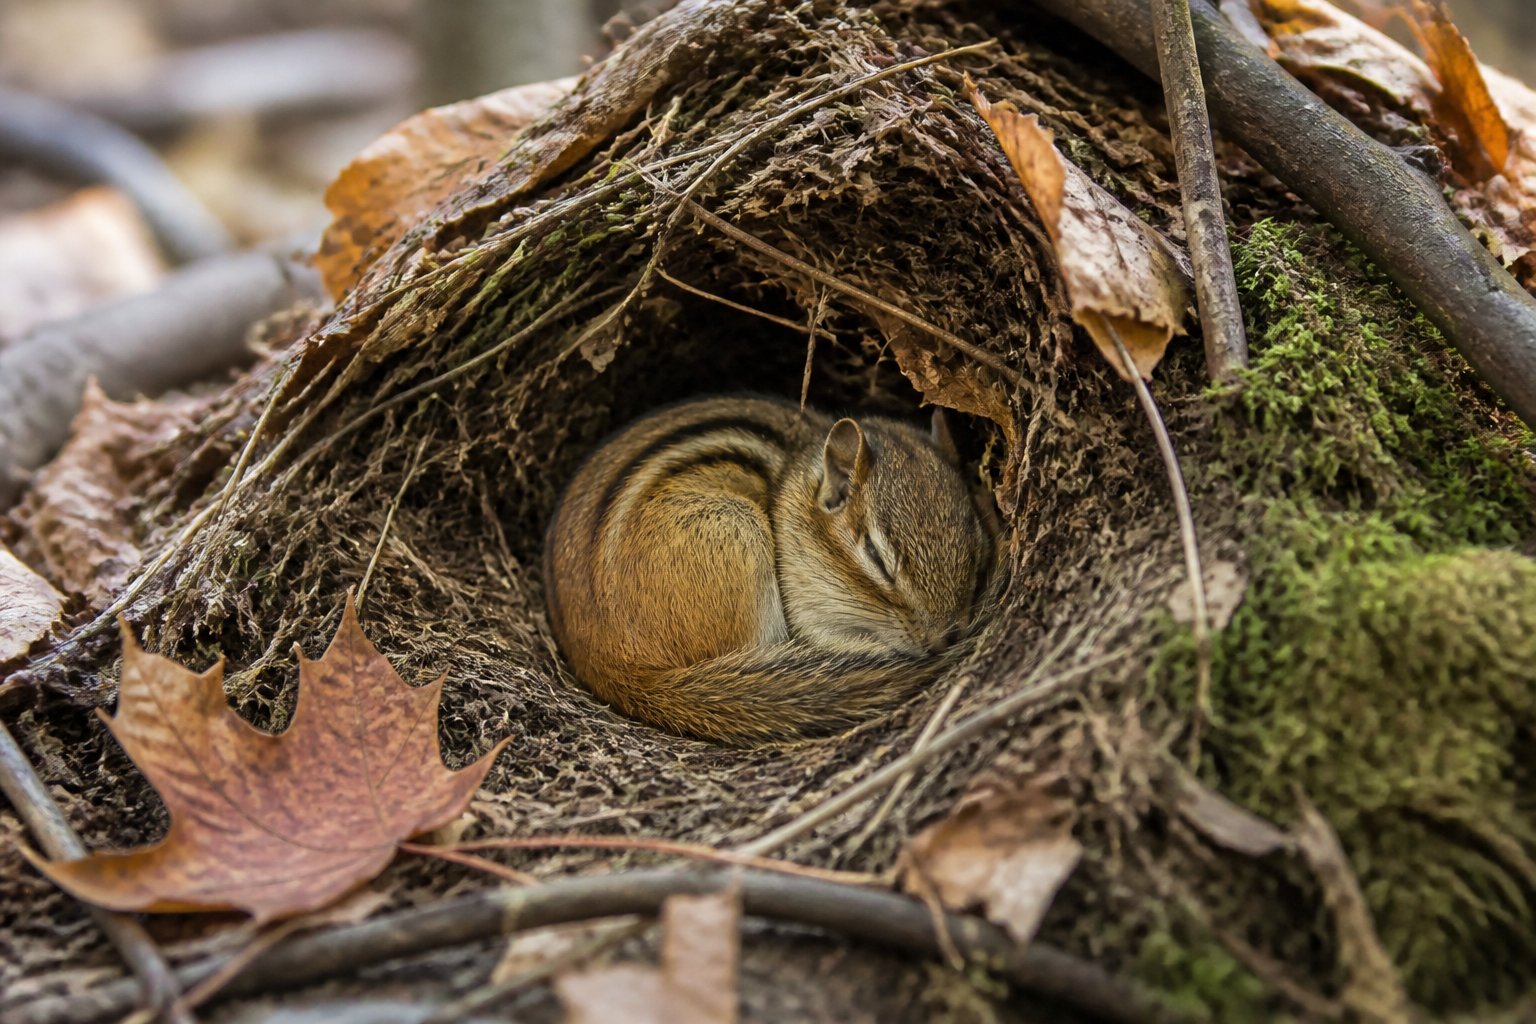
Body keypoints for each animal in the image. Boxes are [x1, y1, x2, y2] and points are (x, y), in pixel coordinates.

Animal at [542, 395, 997, 743]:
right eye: (875, 555)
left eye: (978, 551)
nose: (942, 640)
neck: (797, 475)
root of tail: (611, 661)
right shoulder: (806, 606)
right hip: (738, 534)